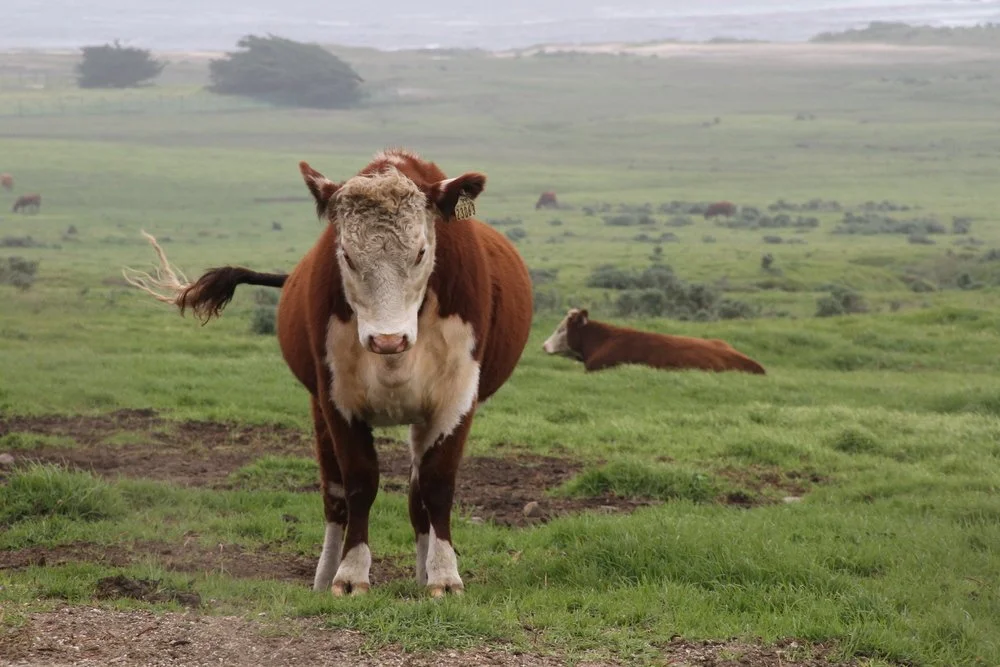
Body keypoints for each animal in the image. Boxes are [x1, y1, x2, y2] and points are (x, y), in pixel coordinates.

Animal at [122, 148, 534, 598]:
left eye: (421, 252)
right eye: (348, 256)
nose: (387, 340)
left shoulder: (455, 398)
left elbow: (437, 485)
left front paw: (443, 576)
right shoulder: (337, 399)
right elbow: (358, 483)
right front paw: (350, 574)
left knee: (416, 496)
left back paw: (423, 571)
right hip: (319, 409)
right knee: (335, 497)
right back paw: (324, 575)